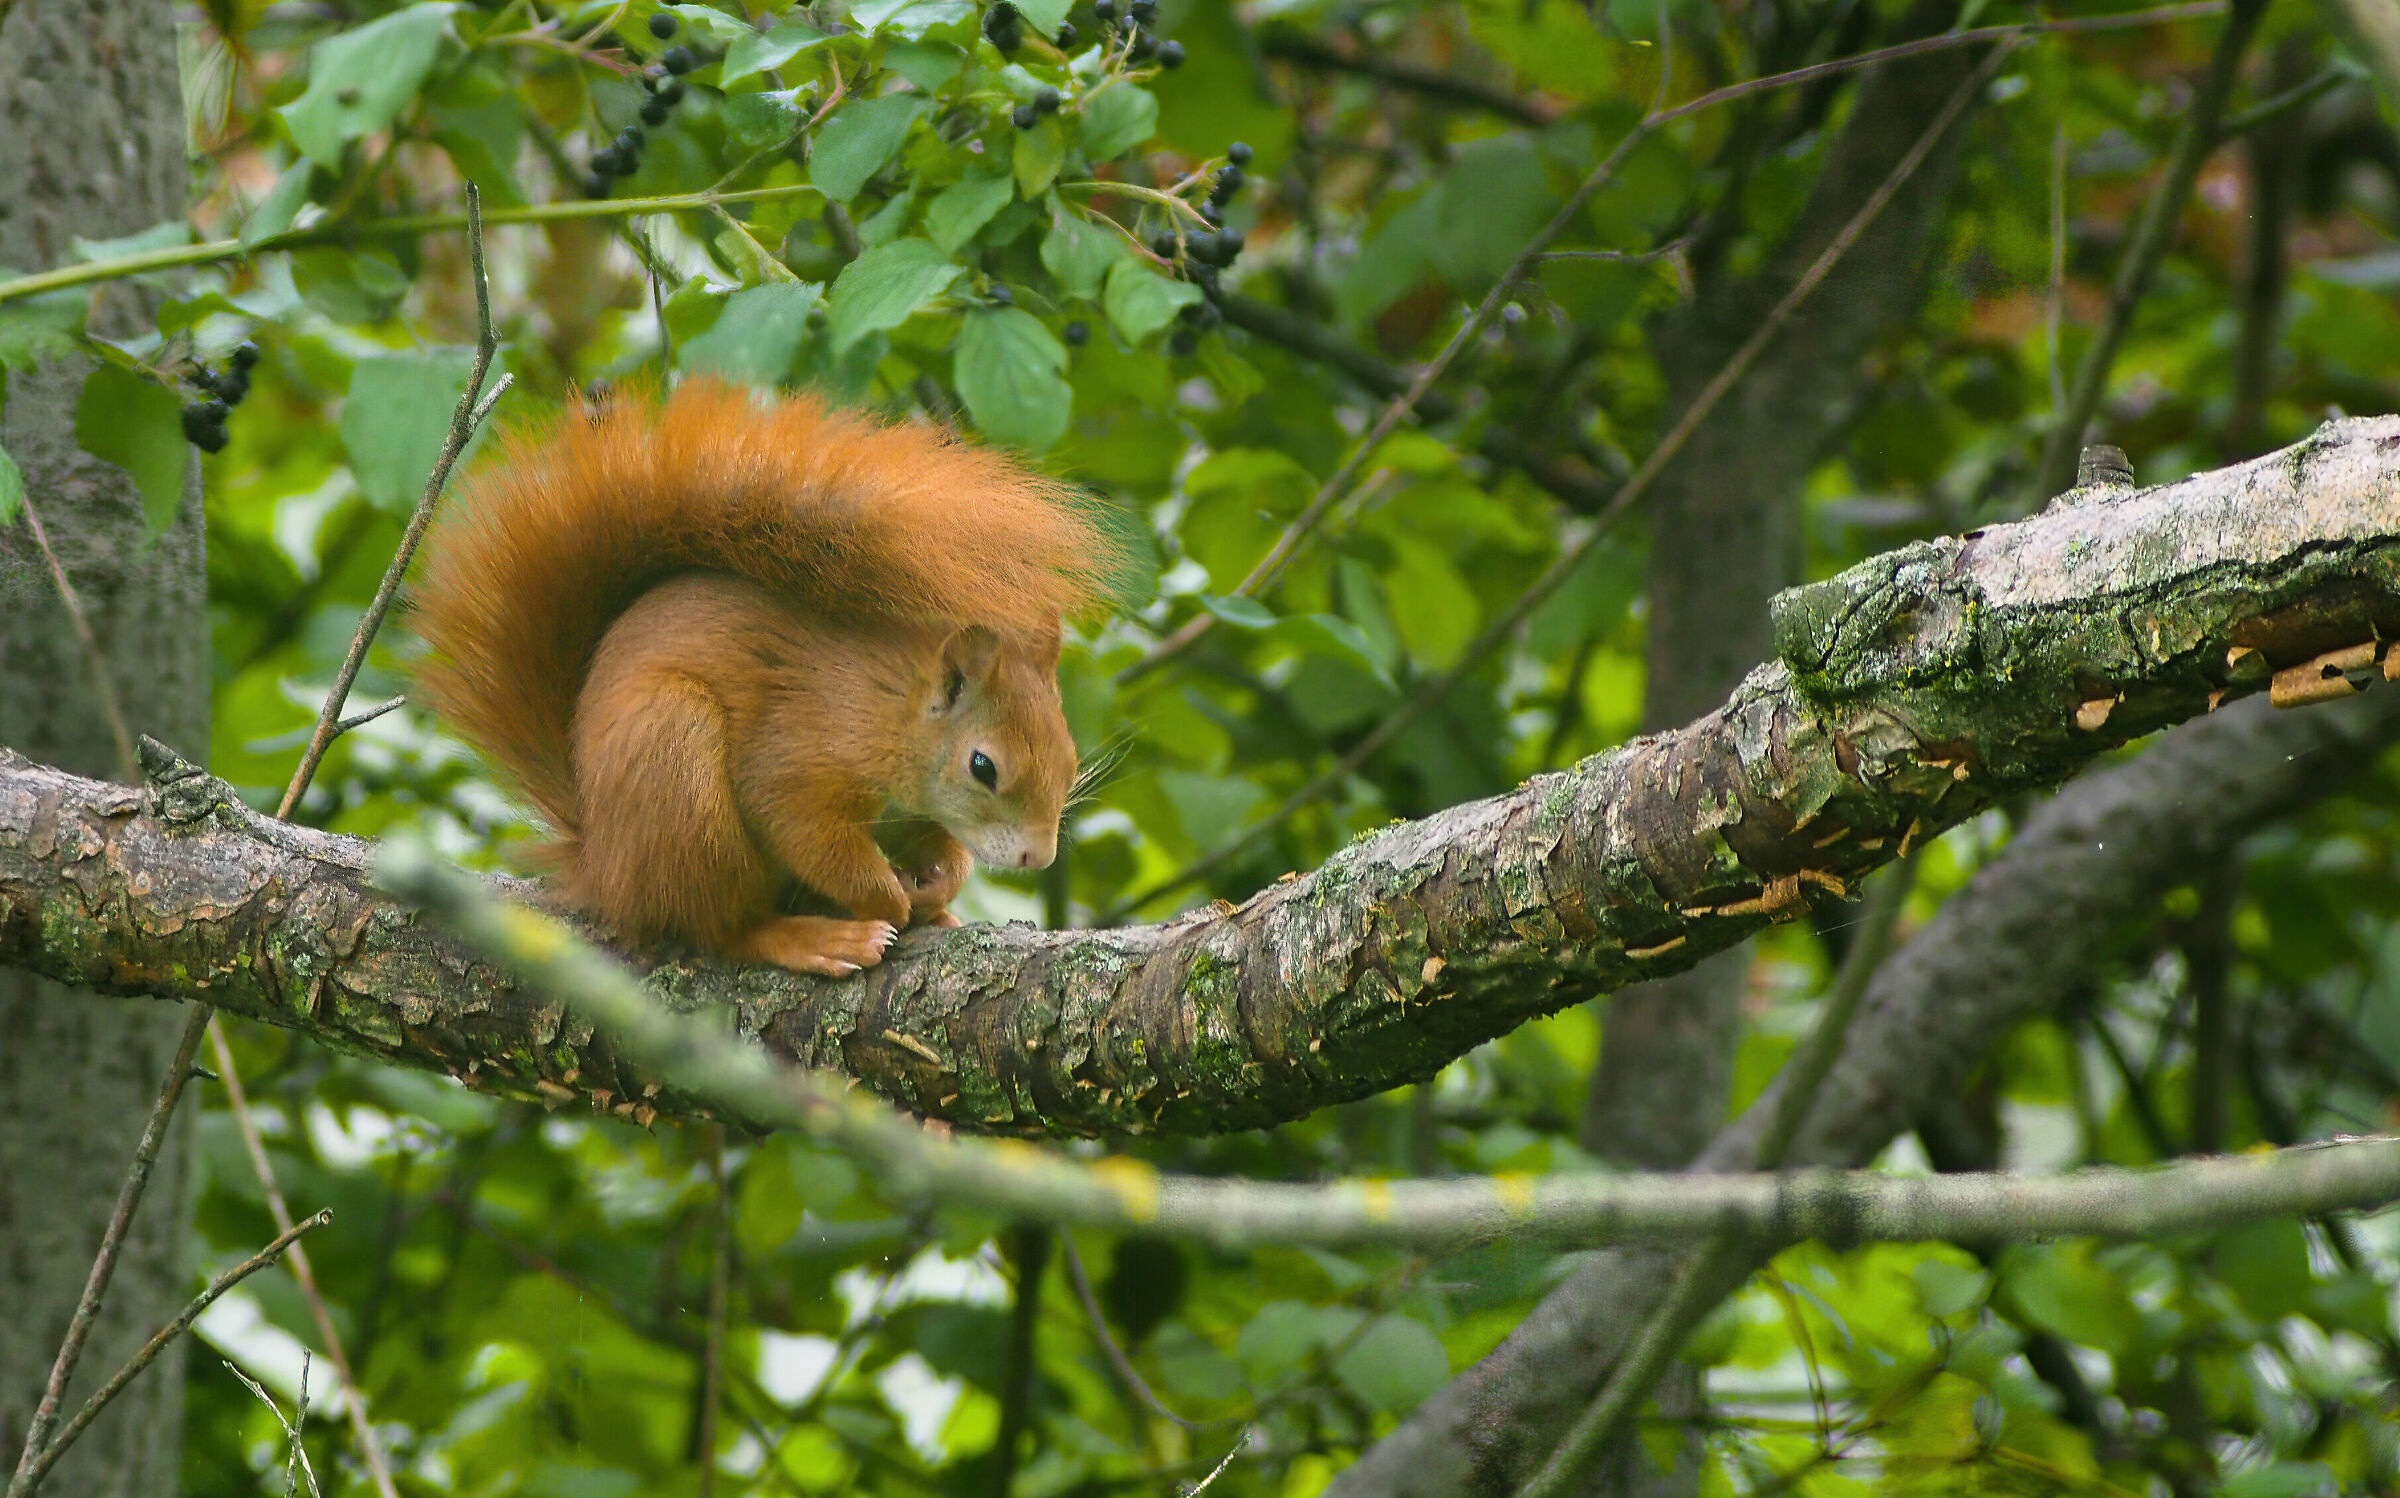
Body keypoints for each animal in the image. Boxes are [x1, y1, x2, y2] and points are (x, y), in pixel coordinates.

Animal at [408, 379, 1121, 975]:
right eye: (983, 766)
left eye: (1068, 757)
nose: (1037, 857)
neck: (888, 708)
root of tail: (601, 863)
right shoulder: (800, 753)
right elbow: (804, 829)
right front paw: (890, 899)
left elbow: (941, 846)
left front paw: (939, 885)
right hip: (675, 766)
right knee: (719, 926)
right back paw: (814, 938)